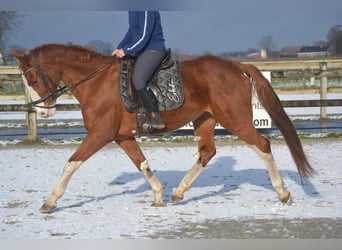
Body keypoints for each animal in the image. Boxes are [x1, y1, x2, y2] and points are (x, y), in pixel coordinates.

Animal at [12, 45, 314, 213]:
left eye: (33, 79)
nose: (44, 111)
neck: (96, 81)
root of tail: (235, 64)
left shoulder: (100, 134)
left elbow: (71, 163)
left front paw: (50, 202)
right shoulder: (121, 136)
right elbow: (142, 163)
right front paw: (158, 194)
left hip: (235, 119)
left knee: (262, 146)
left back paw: (283, 193)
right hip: (205, 119)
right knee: (207, 152)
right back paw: (178, 193)